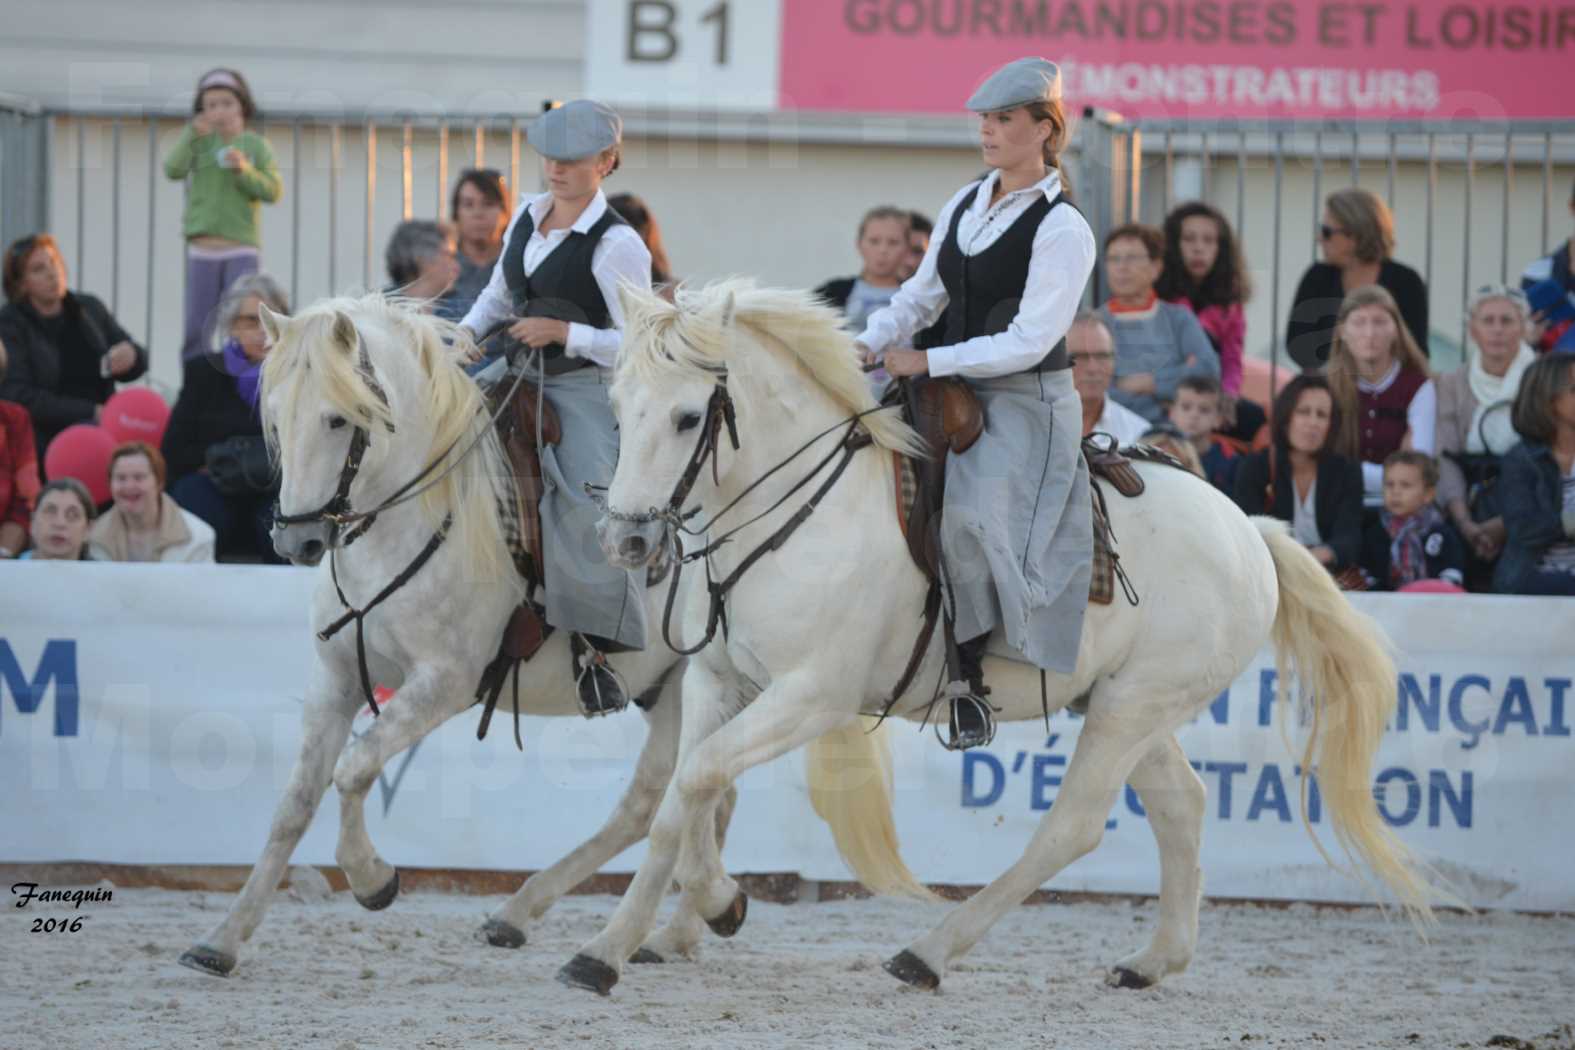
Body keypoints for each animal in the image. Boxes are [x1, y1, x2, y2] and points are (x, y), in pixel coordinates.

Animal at [177, 294, 762, 976]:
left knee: (663, 798)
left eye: (336, 420)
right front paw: (222, 939)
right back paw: (626, 925)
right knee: (694, 797)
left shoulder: (444, 683)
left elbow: (354, 769)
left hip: (692, 686)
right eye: (275, 417)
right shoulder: (335, 679)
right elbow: (294, 804)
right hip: (681, 689)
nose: (296, 540)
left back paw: (672, 919)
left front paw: (373, 878)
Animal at [563, 283, 1442, 1001]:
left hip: (1129, 709)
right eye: (619, 404)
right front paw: (653, 930)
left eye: (687, 417)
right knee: (1180, 804)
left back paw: (928, 952)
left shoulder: (812, 695)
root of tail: (1248, 530)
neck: (799, 513)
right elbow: (683, 798)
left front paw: (660, 928)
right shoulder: (717, 681)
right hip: (1129, 706)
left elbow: (696, 782)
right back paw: (1151, 960)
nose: (625, 541)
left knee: (1074, 825)